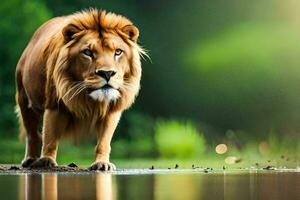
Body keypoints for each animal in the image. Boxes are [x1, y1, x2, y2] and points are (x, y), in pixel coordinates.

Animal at [15, 9, 146, 170]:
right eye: (88, 52)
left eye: (118, 52)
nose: (107, 73)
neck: (88, 97)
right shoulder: (54, 104)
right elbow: (50, 137)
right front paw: (46, 160)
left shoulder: (111, 111)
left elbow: (104, 142)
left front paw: (102, 163)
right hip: (24, 100)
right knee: (32, 134)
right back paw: (30, 160)